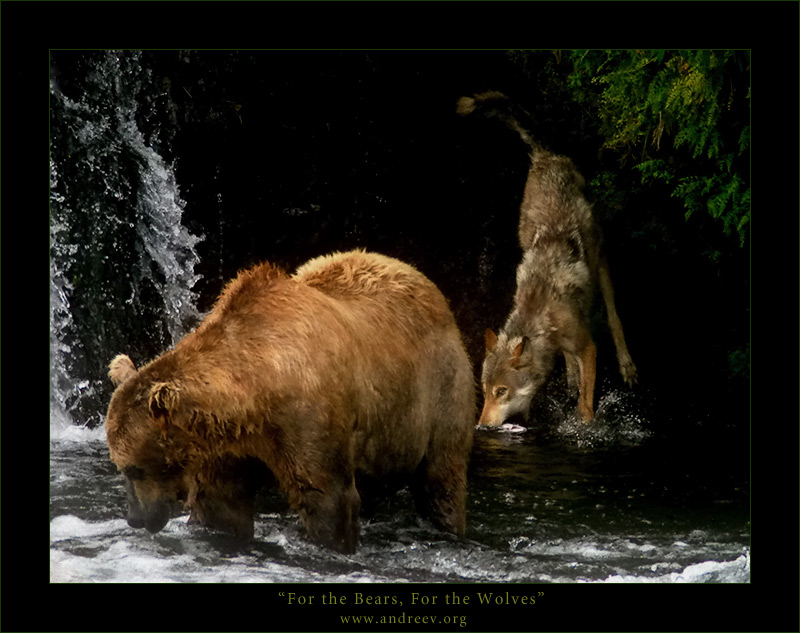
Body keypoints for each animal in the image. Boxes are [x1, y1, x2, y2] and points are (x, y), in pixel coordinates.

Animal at [105, 249, 476, 552]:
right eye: (121, 465)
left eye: (134, 468)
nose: (135, 518)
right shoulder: (225, 444)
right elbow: (221, 505)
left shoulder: (309, 417)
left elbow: (326, 496)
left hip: (440, 390)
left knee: (441, 479)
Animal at [460, 90, 640, 424]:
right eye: (485, 389)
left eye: (501, 391)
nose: (482, 426)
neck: (543, 322)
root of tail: (547, 156)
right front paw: (570, 381)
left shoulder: (588, 347)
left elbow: (585, 404)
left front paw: (585, 424)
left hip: (600, 258)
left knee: (613, 314)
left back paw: (626, 365)